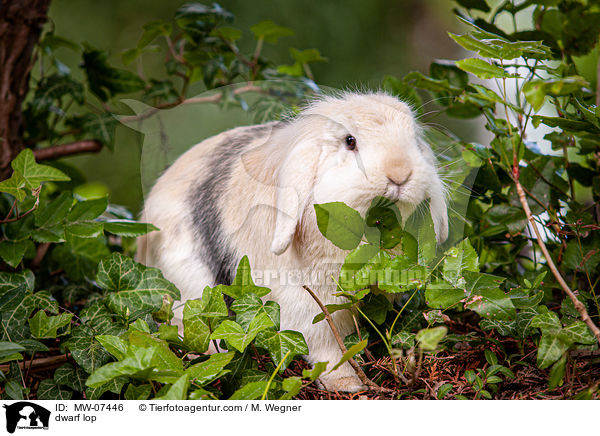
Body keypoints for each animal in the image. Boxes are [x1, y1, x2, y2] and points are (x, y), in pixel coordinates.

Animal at [138, 91, 448, 392]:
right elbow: (329, 346)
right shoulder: (309, 303)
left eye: (412, 138)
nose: (400, 174)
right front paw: (347, 384)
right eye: (350, 141)